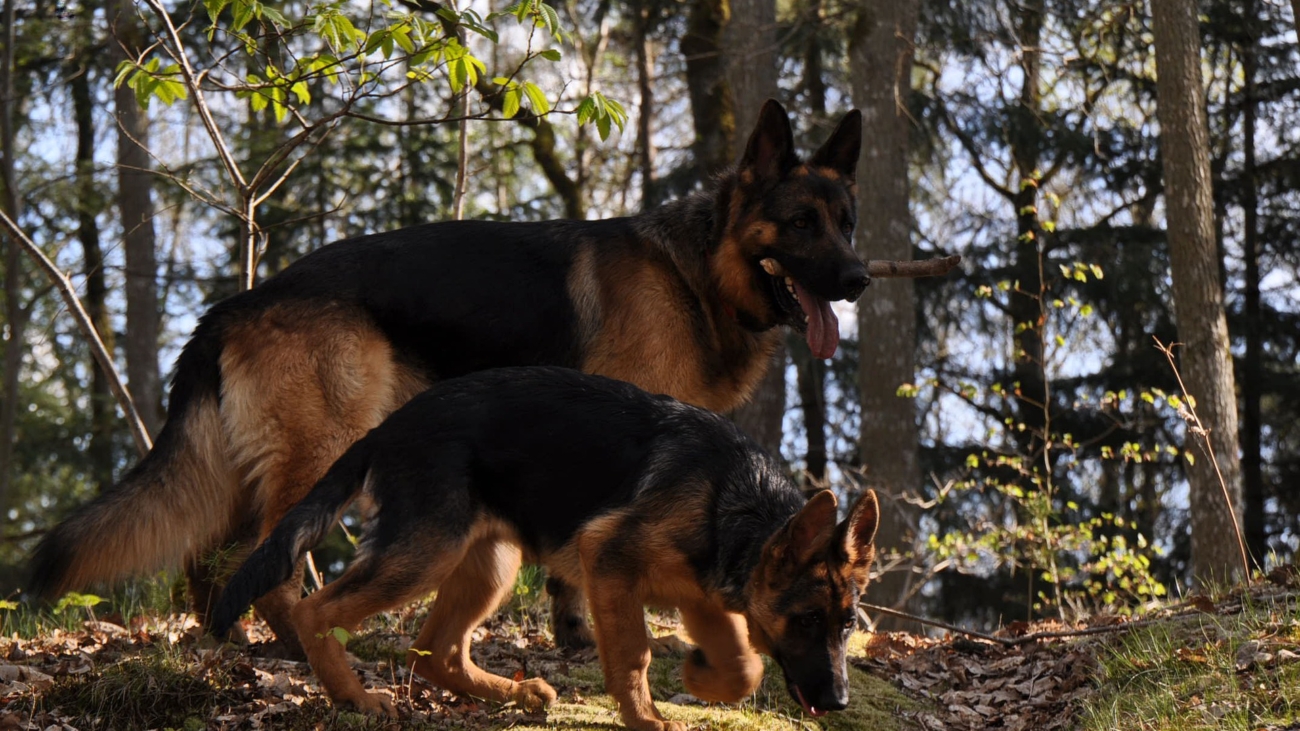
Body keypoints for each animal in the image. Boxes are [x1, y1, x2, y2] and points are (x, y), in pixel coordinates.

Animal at [27, 99, 863, 650]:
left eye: (847, 221)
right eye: (801, 223)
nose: (858, 278)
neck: (697, 269)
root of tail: (236, 303)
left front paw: (573, 639)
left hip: (242, 470)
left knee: (212, 558)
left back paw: (225, 644)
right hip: (322, 446)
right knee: (268, 556)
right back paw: (305, 648)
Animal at [213, 366, 878, 723]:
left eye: (847, 626)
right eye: (806, 619)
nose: (839, 704)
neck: (734, 501)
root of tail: (387, 428)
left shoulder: (702, 599)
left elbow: (744, 666)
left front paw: (700, 675)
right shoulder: (608, 560)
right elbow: (632, 656)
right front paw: (647, 720)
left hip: (491, 563)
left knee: (434, 650)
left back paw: (515, 693)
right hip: (427, 552)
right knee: (315, 609)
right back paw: (355, 697)